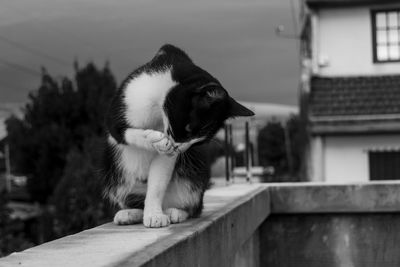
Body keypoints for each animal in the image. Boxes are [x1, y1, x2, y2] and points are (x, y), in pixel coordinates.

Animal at [101, 44, 255, 228]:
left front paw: (154, 214)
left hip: (193, 179)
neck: (158, 109)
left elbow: (158, 182)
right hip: (116, 179)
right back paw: (129, 213)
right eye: (188, 129)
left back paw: (175, 212)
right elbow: (121, 131)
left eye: (198, 143)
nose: (180, 149)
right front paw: (153, 139)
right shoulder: (125, 102)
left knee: (194, 206)